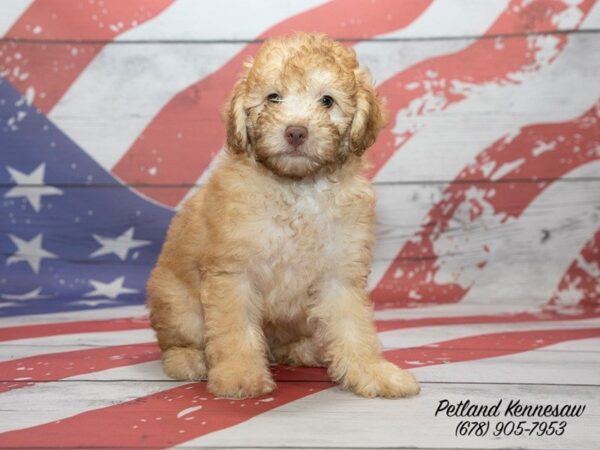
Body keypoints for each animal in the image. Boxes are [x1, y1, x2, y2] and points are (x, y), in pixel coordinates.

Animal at [147, 33, 420, 400]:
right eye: (273, 98)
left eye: (327, 101)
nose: (296, 132)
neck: (297, 188)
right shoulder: (233, 272)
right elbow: (234, 329)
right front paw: (239, 375)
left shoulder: (340, 272)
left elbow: (353, 326)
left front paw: (372, 371)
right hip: (179, 305)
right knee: (175, 340)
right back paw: (188, 359)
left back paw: (306, 350)